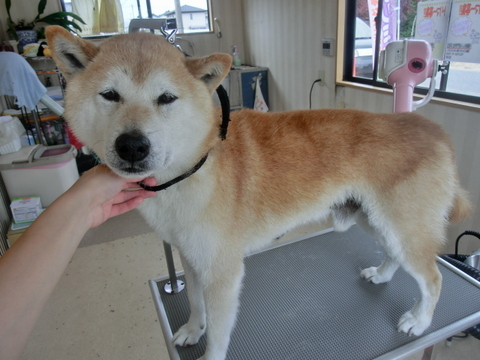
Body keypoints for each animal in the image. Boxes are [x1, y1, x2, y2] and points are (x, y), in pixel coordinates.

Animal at [47, 26, 470, 360]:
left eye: (166, 98)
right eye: (110, 95)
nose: (132, 146)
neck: (193, 168)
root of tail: (434, 130)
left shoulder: (223, 271)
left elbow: (219, 331)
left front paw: (209, 351)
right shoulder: (191, 256)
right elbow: (196, 303)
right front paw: (192, 330)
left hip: (401, 226)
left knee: (433, 279)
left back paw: (419, 320)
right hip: (376, 220)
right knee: (397, 257)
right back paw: (382, 275)